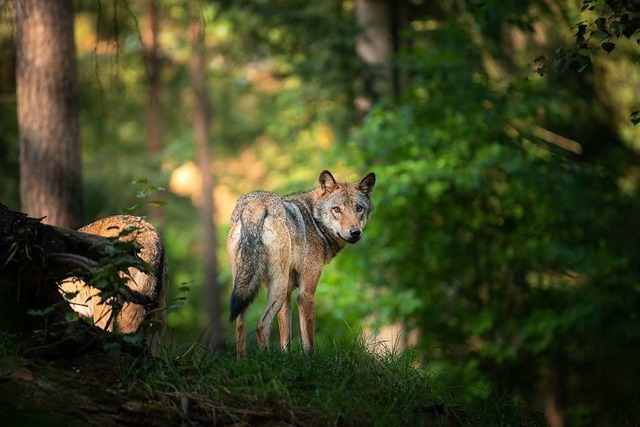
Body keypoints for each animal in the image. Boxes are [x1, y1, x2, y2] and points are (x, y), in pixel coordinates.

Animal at [228, 171, 376, 358]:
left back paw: (243, 361)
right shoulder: (305, 294)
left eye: (358, 208)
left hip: (244, 287)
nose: (355, 232)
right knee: (261, 325)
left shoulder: (287, 296)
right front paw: (310, 361)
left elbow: (286, 340)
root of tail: (256, 204)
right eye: (336, 209)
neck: (314, 221)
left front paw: (286, 359)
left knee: (239, 325)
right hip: (276, 288)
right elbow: (308, 340)